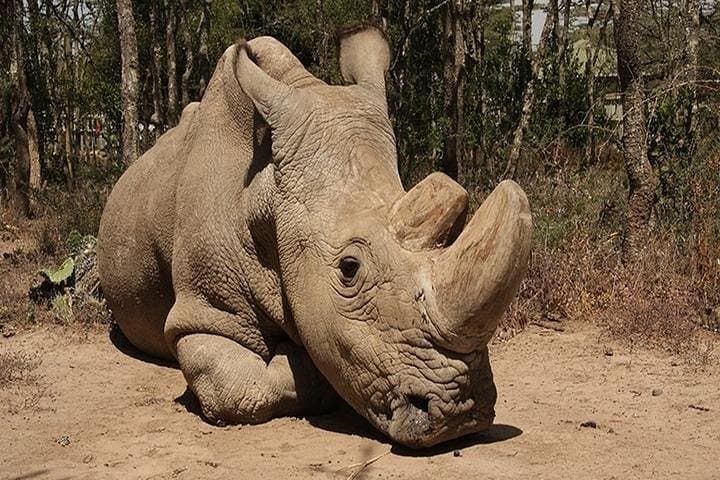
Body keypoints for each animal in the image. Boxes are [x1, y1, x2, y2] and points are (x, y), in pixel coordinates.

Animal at [97, 25, 532, 448]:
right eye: (349, 268)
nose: (462, 414)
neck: (266, 197)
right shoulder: (204, 312)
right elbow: (238, 390)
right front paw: (297, 359)